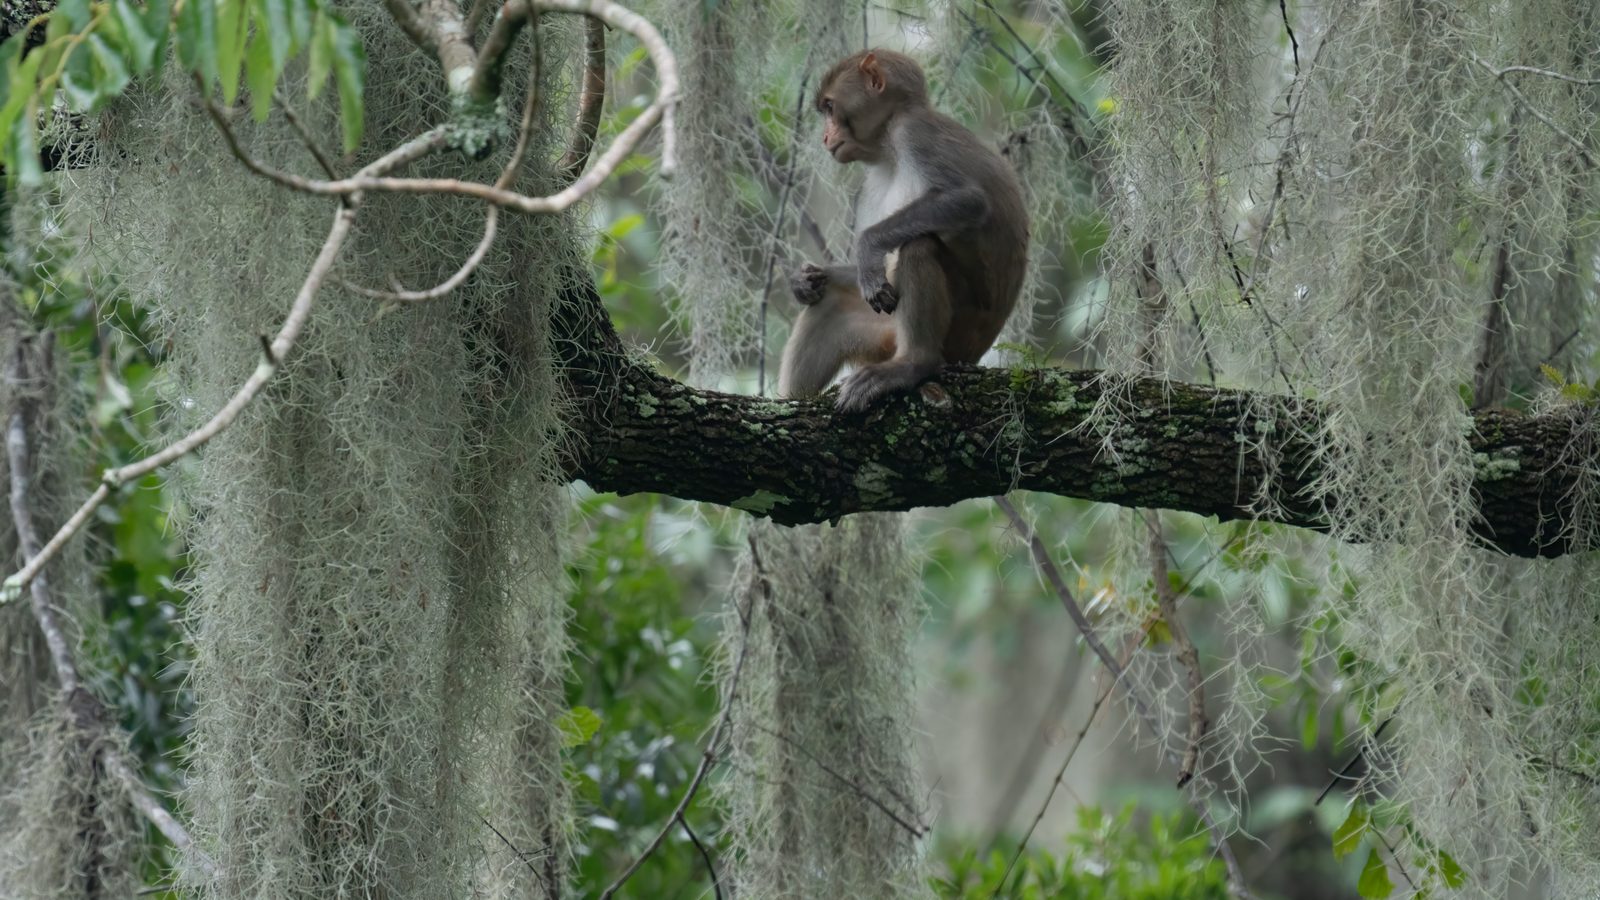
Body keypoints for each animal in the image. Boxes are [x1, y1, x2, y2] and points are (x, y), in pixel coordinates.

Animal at [778, 49, 1028, 412]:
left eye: (830, 107)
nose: (825, 137)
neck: (888, 148)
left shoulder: (913, 133)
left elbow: (968, 200)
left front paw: (867, 247)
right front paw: (804, 279)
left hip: (959, 337)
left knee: (919, 244)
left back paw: (912, 364)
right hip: (885, 336)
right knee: (831, 304)